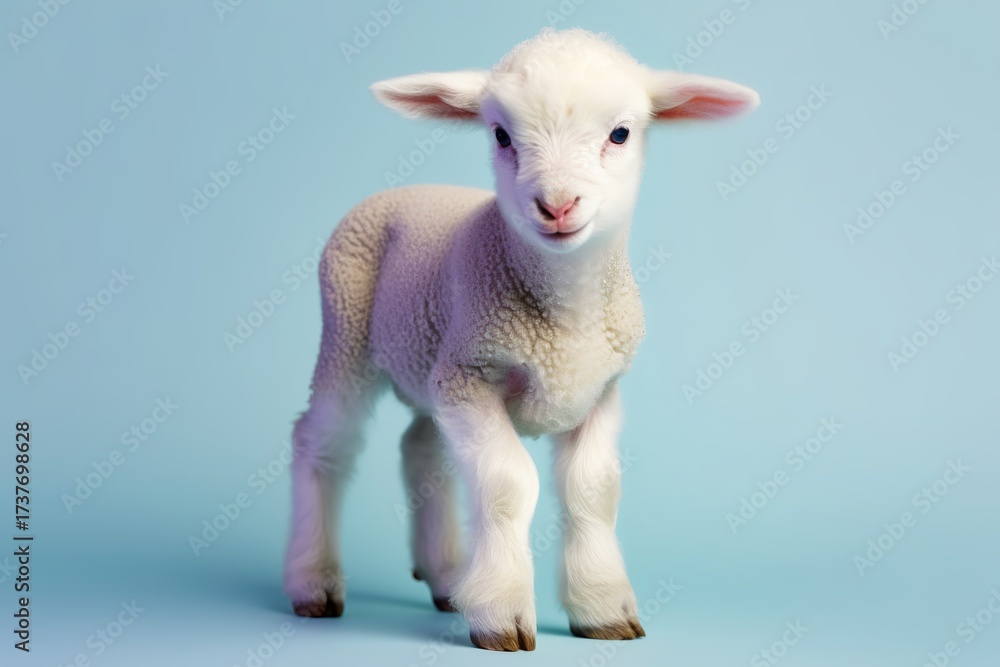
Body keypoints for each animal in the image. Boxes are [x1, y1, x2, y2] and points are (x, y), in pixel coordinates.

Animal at [283, 28, 758, 652]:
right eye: (501, 135)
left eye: (620, 133)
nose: (557, 205)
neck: (566, 320)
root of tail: (407, 190)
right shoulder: (472, 377)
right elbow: (509, 484)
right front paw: (501, 612)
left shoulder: (599, 391)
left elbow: (592, 490)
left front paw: (601, 608)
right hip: (348, 331)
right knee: (323, 442)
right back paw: (313, 582)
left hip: (432, 362)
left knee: (421, 447)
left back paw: (446, 577)